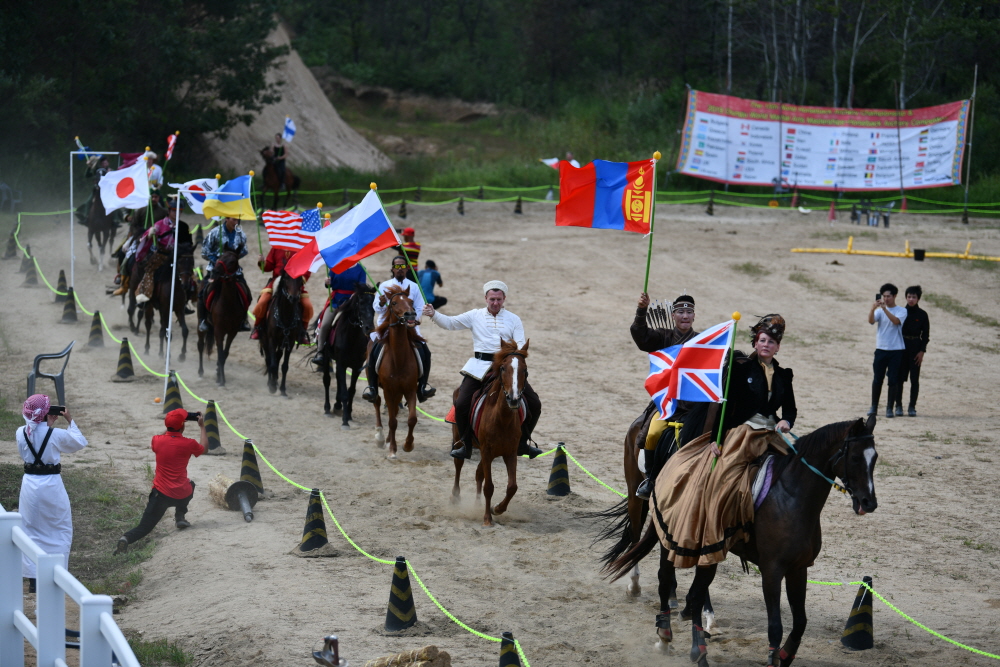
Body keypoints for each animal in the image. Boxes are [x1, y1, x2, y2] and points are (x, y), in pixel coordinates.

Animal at [198, 250, 247, 386]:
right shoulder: (218, 330)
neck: (228, 303)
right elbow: (220, 354)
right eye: (220, 257)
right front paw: (222, 380)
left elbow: (224, 354)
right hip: (202, 324)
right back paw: (200, 371)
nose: (215, 272)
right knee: (200, 345)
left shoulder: (232, 332)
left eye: (232, 261)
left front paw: (218, 374)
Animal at [322, 282, 376, 428]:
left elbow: (351, 390)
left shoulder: (356, 367)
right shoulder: (341, 364)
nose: (369, 328)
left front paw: (349, 414)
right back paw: (328, 408)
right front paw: (345, 420)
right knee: (327, 380)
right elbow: (345, 392)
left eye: (375, 305)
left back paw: (337, 405)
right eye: (360, 303)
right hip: (326, 356)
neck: (352, 336)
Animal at [376, 284, 422, 462]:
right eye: (394, 303)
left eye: (411, 301)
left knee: (394, 410)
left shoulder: (410, 389)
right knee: (376, 402)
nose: (410, 314)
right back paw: (380, 438)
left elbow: (412, 419)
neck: (399, 359)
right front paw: (392, 451)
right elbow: (392, 422)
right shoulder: (389, 391)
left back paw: (389, 439)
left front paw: (408, 445)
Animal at [454, 342, 532, 528]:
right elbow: (489, 487)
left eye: (525, 370)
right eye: (503, 368)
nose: (513, 399)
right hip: (459, 438)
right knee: (458, 463)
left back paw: (477, 504)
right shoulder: (487, 452)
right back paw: (456, 497)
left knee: (478, 473)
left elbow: (512, 486)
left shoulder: (510, 453)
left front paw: (496, 509)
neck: (501, 419)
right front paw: (487, 519)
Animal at [604, 418, 880, 667]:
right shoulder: (772, 571)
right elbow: (775, 626)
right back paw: (664, 635)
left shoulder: (798, 569)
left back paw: (698, 648)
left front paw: (784, 656)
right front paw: (773, 658)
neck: (791, 498)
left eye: (875, 458)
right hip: (667, 534)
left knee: (695, 594)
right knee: (664, 578)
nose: (869, 503)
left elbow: (800, 622)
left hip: (709, 554)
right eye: (856, 458)